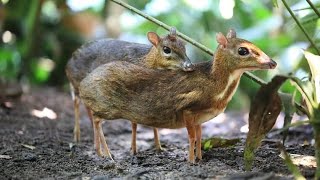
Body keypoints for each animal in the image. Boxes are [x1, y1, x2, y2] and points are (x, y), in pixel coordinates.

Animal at [79, 29, 276, 163]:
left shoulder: (199, 117)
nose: (273, 62)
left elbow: (199, 136)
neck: (215, 86)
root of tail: (83, 85)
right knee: (95, 119)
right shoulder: (187, 109)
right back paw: (106, 154)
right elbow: (191, 137)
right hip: (107, 107)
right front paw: (190, 161)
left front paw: (200, 158)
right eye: (243, 50)